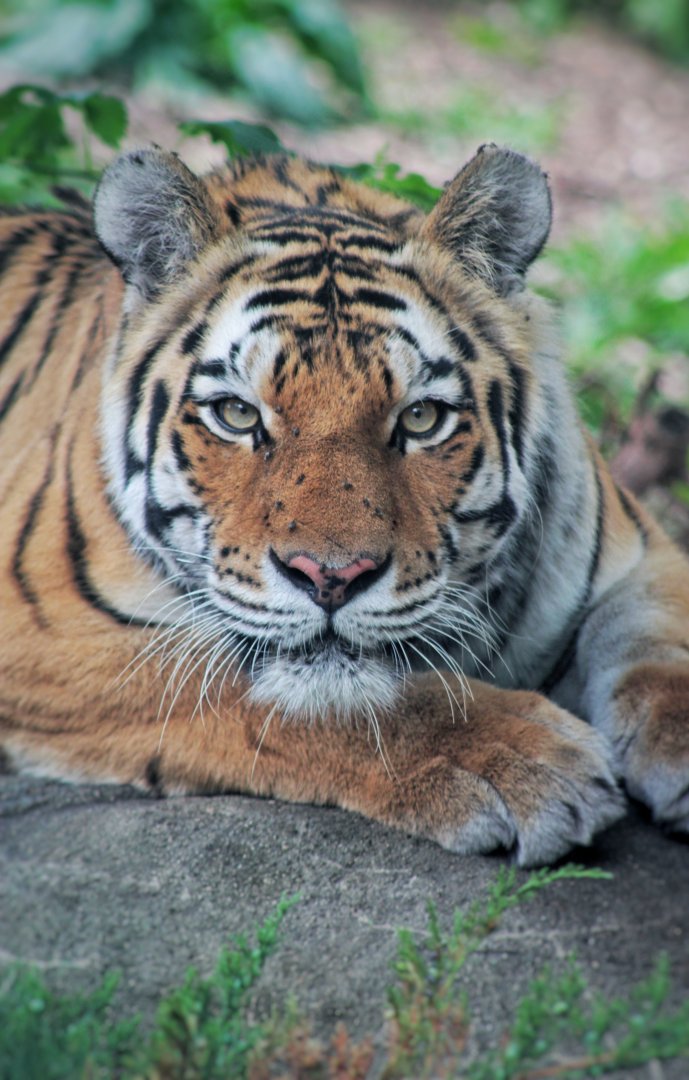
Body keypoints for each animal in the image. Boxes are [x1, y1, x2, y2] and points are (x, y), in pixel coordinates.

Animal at [1, 143, 688, 867]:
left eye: (419, 418)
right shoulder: (51, 630)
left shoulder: (639, 557)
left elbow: (660, 645)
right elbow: (305, 695)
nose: (330, 578)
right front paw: (521, 759)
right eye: (236, 414)